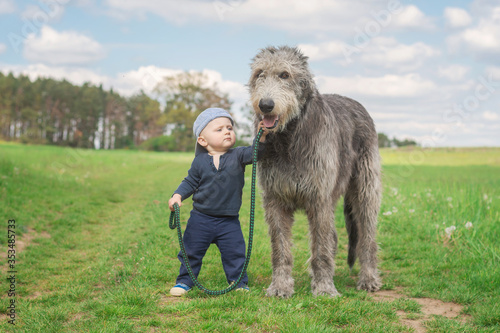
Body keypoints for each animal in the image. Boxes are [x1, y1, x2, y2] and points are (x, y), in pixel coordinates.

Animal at [250, 45, 382, 296]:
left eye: (285, 75)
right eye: (259, 73)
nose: (265, 105)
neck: (289, 137)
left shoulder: (320, 198)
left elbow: (321, 248)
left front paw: (324, 288)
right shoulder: (274, 199)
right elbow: (280, 248)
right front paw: (280, 286)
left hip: (366, 187)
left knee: (366, 234)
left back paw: (368, 277)